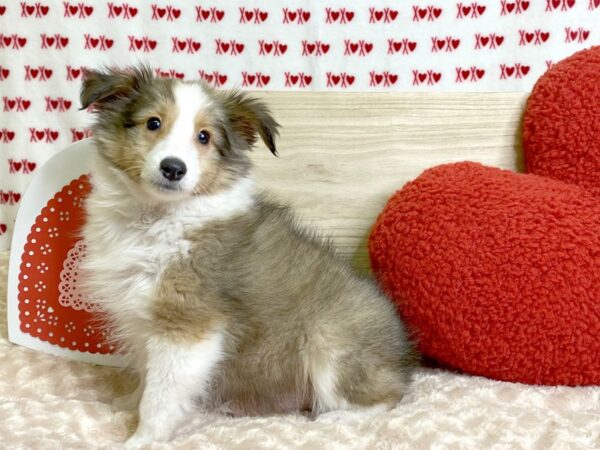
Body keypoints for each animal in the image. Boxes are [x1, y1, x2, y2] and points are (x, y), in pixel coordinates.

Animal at [79, 66, 418, 446]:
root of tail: (402, 355)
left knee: (386, 398)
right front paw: (126, 403)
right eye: (153, 123)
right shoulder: (142, 321)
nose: (173, 168)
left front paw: (142, 438)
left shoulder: (186, 326)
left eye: (204, 137)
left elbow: (161, 394)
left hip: (331, 347)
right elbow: (145, 376)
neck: (158, 218)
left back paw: (333, 418)